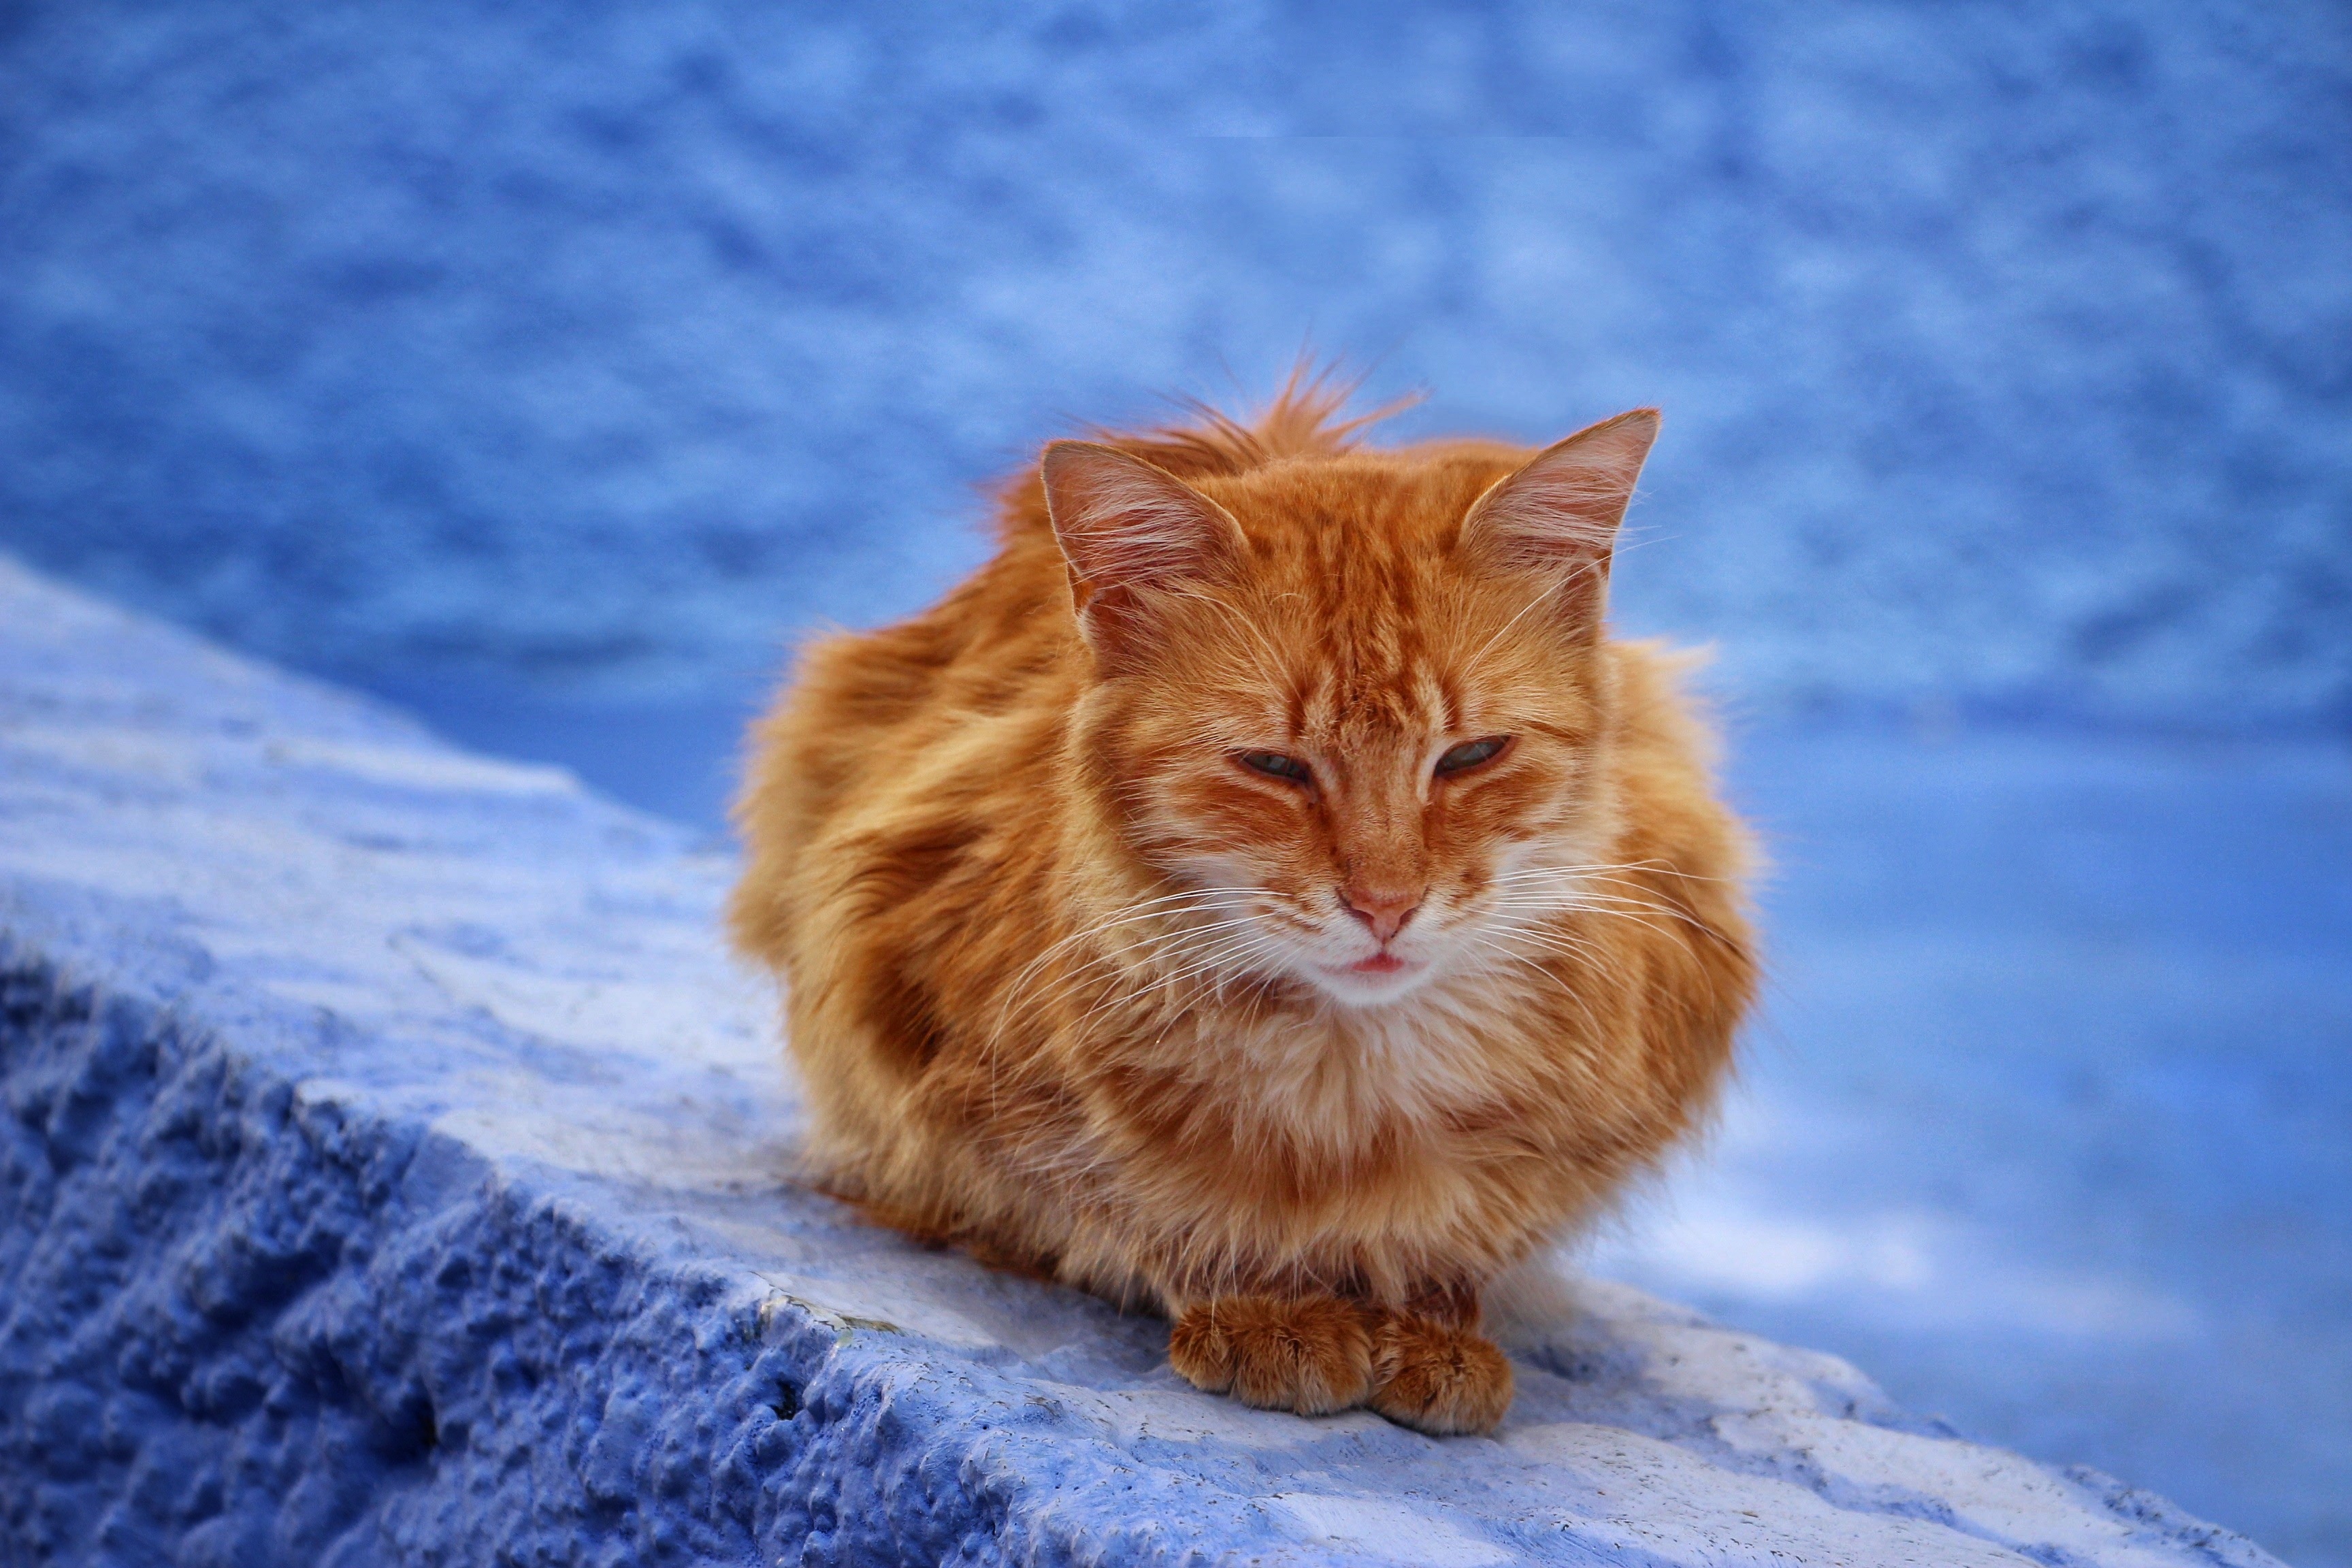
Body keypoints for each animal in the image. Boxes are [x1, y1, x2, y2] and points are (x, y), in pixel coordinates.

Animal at [724, 376, 1759, 1439]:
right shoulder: (919, 1034)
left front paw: (1432, 1323)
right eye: (1274, 767)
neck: (1354, 1090)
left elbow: (1462, 1237)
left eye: (1472, 757)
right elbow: (1142, 1214)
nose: (1386, 903)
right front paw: (1271, 1306)